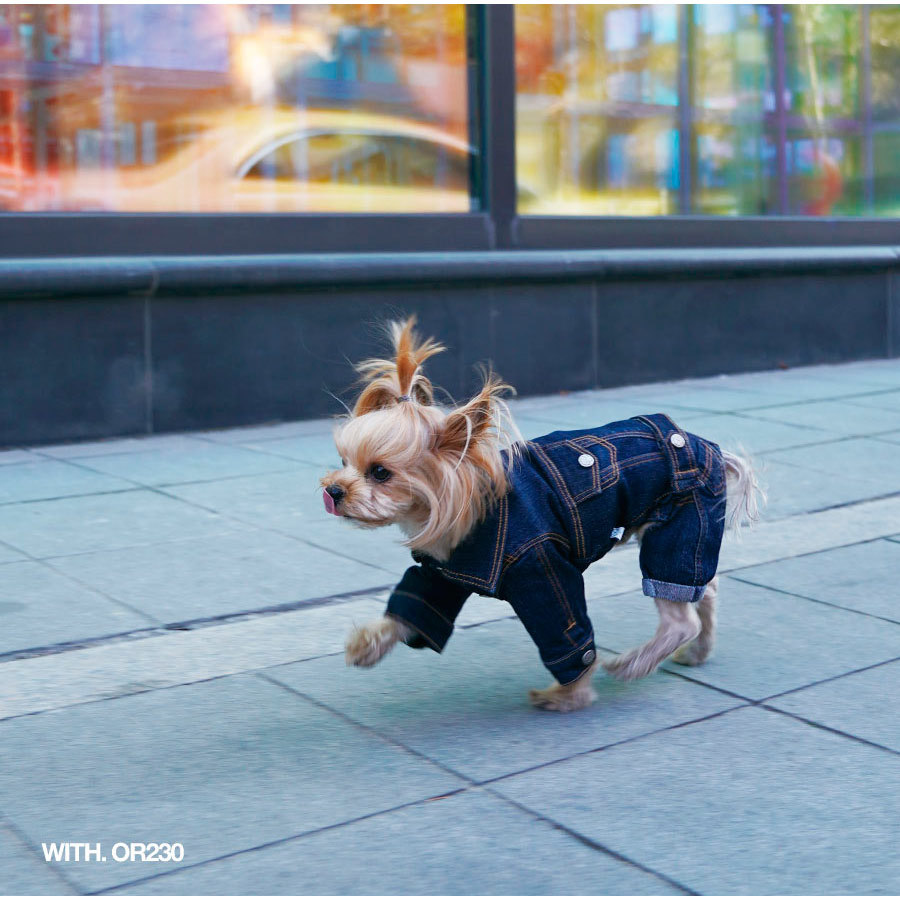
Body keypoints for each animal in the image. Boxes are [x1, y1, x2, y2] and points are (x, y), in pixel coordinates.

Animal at [320, 316, 764, 712]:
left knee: (678, 616)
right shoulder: (443, 572)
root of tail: (710, 447)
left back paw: (634, 664)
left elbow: (566, 633)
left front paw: (569, 696)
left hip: (678, 523)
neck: (466, 504)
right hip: (690, 532)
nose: (332, 490)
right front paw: (365, 646)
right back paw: (697, 651)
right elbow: (413, 608)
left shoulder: (541, 570)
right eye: (343, 461)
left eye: (380, 472)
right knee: (700, 589)